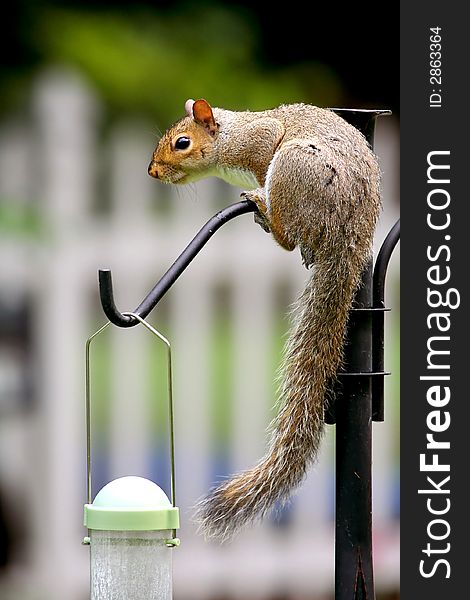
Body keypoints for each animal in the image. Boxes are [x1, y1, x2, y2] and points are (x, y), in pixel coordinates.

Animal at [149, 98, 380, 540]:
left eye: (182, 142)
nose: (152, 171)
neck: (228, 137)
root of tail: (349, 236)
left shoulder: (260, 142)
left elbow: (263, 155)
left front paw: (257, 191)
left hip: (293, 168)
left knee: (288, 236)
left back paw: (265, 208)